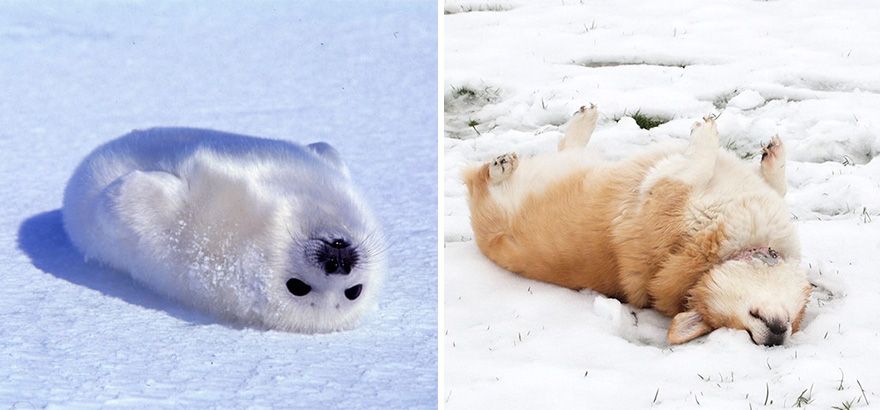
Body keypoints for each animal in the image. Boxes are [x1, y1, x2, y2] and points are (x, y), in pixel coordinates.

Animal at [464, 106, 816, 346]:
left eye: (747, 332)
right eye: (750, 324)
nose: (775, 335)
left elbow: (750, 178)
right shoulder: (668, 190)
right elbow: (721, 169)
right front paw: (720, 139)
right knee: (492, 177)